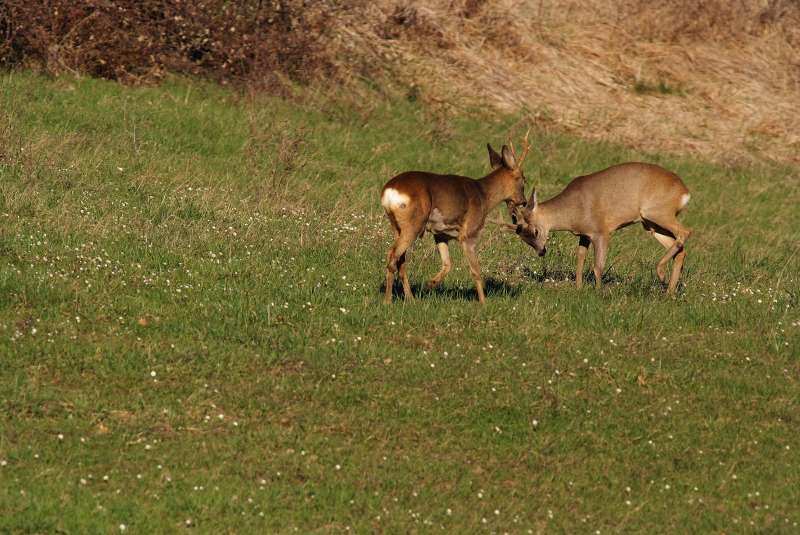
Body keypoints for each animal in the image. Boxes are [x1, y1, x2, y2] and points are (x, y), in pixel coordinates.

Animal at [382, 132, 532, 304]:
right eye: (523, 178)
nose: (523, 201)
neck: (484, 196)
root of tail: (389, 192)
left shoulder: (441, 234)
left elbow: (447, 264)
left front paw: (429, 284)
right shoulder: (469, 233)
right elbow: (475, 270)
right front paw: (483, 302)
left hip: (397, 226)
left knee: (401, 260)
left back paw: (411, 298)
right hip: (413, 224)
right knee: (393, 254)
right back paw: (388, 301)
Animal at [504, 163, 692, 296]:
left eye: (535, 231)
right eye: (524, 239)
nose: (541, 251)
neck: (572, 211)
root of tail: (685, 192)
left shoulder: (601, 231)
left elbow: (597, 266)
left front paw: (598, 292)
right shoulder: (584, 235)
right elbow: (580, 260)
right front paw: (578, 288)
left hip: (657, 212)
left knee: (686, 232)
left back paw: (661, 273)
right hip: (651, 224)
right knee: (681, 248)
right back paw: (669, 292)